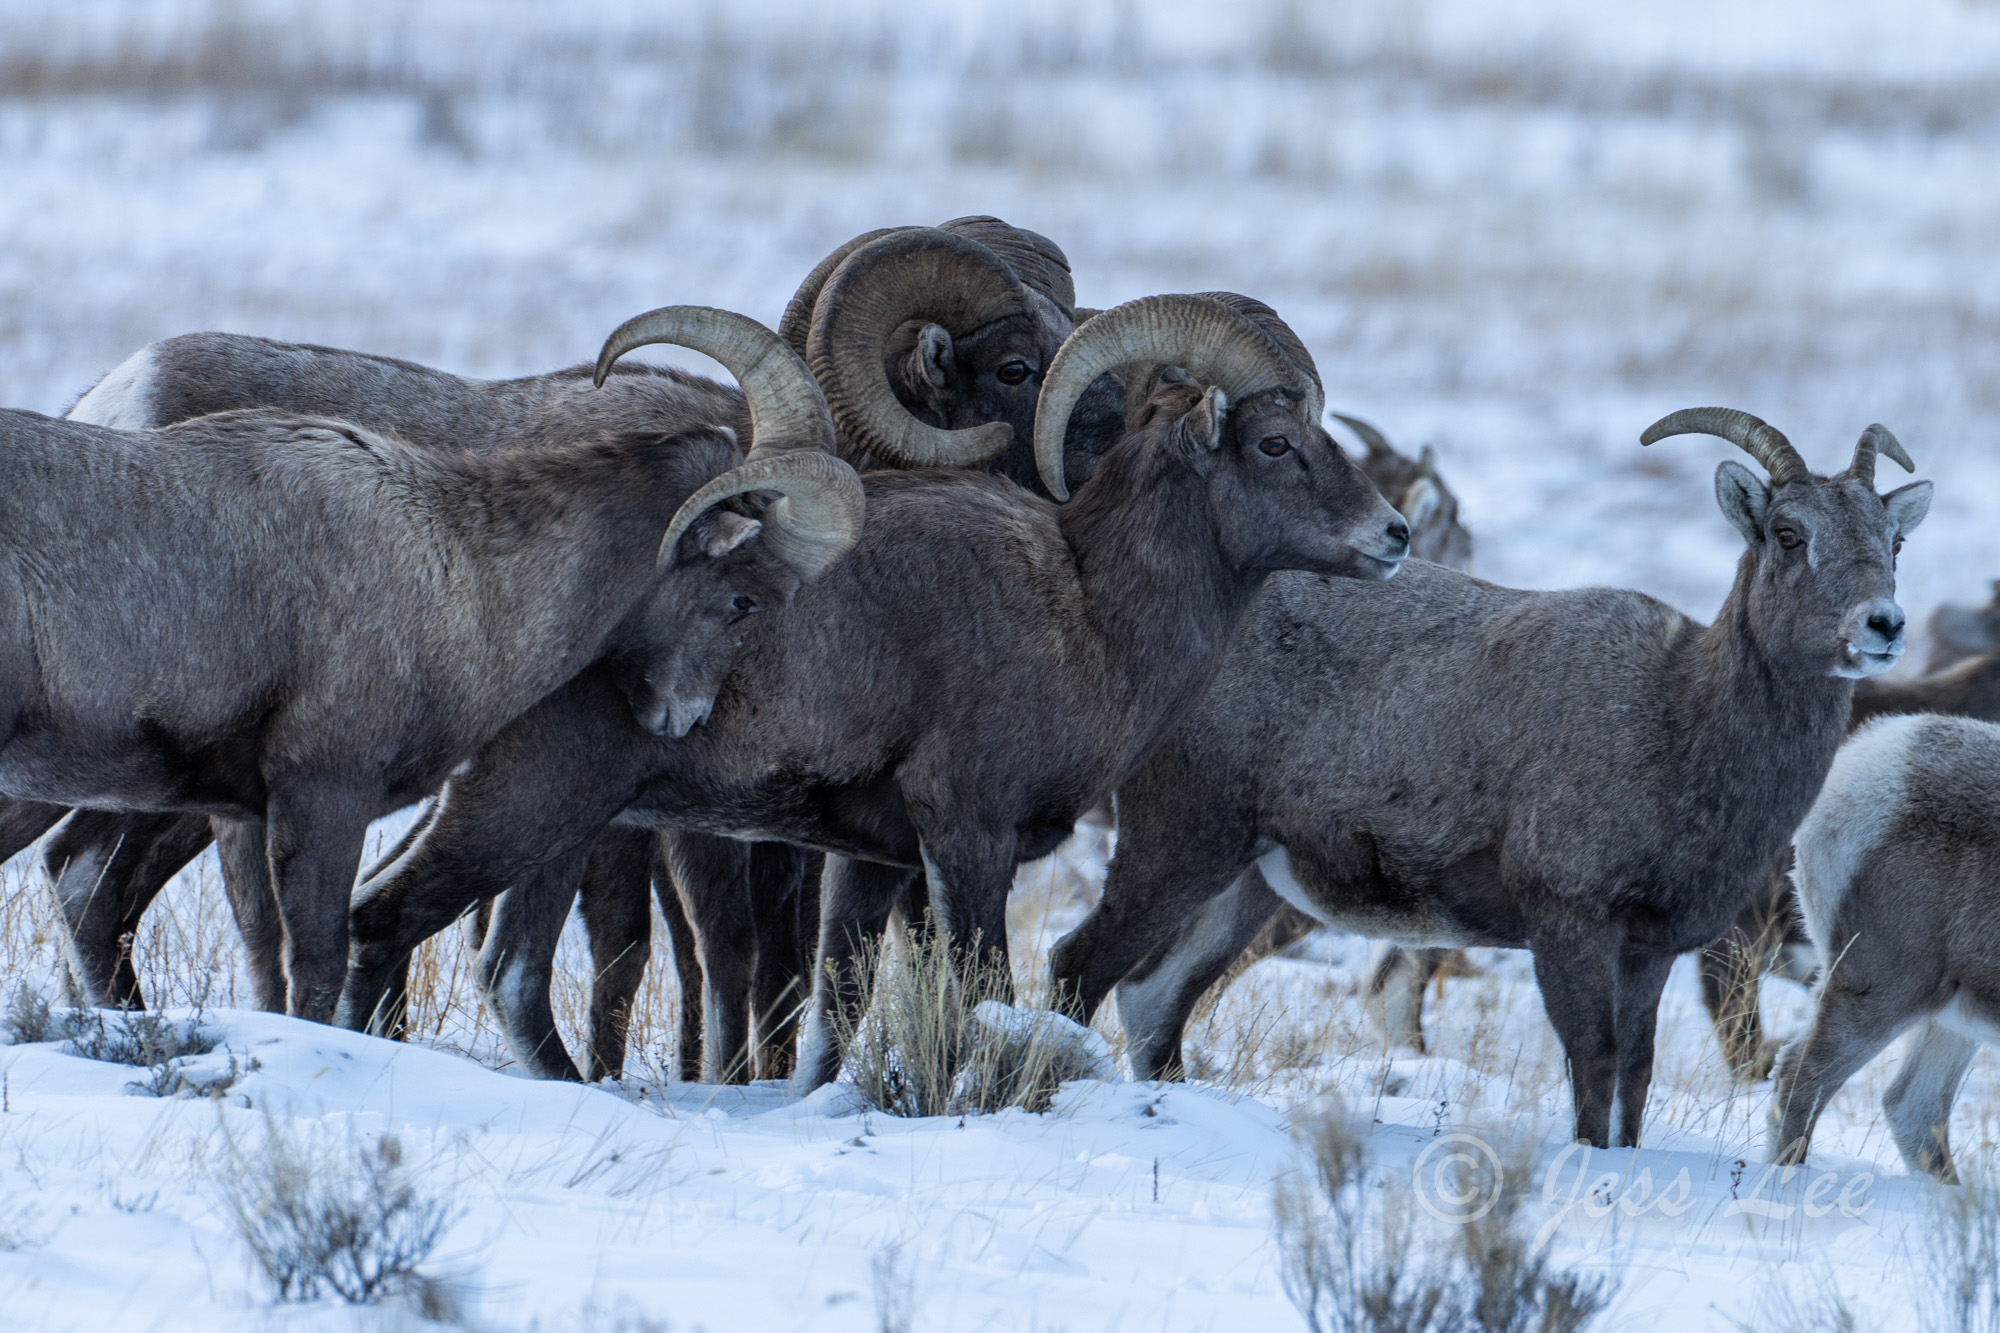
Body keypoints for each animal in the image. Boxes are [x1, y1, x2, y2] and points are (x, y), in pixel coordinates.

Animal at [0, 308, 852, 1016]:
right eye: (744, 599)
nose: (683, 719)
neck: (465, 569)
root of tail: (107, 391)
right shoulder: (323, 795)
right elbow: (314, 968)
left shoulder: (255, 812)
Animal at [336, 288, 1416, 1080]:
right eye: (1275, 443)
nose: (1393, 536)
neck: (1089, 611)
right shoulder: (968, 836)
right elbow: (983, 994)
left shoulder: (875, 861)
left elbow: (835, 1017)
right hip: (528, 801)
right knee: (385, 921)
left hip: (562, 826)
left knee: (505, 971)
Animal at [1056, 410, 1928, 1144]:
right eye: (1788, 532)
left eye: (1893, 540)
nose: (1882, 625)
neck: (1679, 724)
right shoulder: (1568, 923)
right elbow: (1595, 1066)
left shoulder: (1648, 951)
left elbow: (1634, 1076)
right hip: (1182, 842)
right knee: (1080, 964)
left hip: (1248, 884)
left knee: (1154, 998)